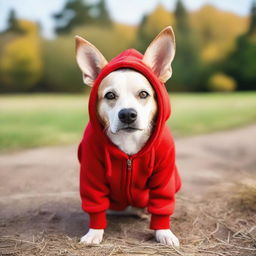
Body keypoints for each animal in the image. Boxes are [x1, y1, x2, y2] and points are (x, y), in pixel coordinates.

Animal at [75, 26, 181, 246]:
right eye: (110, 95)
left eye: (143, 94)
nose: (127, 114)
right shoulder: (91, 170)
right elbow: (95, 204)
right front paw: (94, 231)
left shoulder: (165, 170)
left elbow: (162, 203)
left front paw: (163, 231)